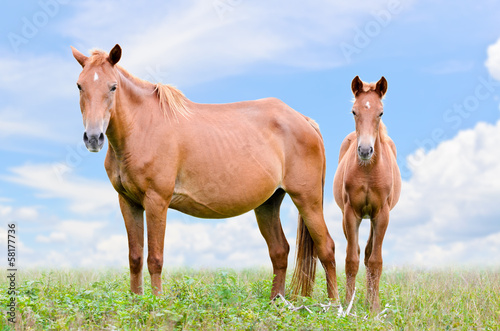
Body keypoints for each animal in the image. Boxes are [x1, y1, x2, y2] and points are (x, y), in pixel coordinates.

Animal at [72, 44, 338, 300]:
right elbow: (135, 259)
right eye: (80, 86)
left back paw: (335, 305)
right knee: (280, 251)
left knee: (327, 248)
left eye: (113, 86)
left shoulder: (157, 201)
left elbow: (155, 259)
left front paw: (155, 306)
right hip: (268, 203)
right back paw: (277, 303)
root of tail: (304, 120)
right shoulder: (128, 202)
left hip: (308, 200)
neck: (142, 127)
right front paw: (136, 304)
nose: (93, 138)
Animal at [334, 76, 400, 312]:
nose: (364, 151)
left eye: (380, 113)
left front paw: (374, 308)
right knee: (359, 252)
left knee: (370, 253)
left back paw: (370, 300)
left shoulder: (382, 215)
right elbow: (351, 260)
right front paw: (347, 305)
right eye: (354, 111)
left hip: (373, 218)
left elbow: (375, 261)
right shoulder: (350, 214)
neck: (368, 172)